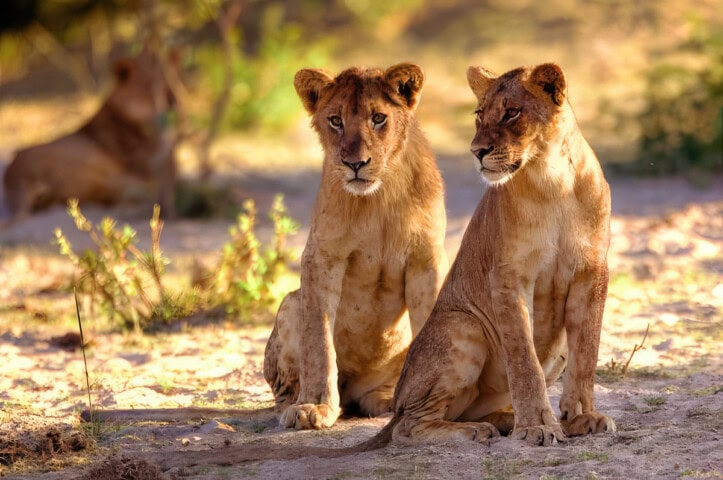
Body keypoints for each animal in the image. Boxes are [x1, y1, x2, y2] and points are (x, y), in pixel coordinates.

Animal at [263, 63, 448, 430]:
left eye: (378, 118)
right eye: (336, 120)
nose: (355, 163)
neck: (378, 197)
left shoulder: (427, 258)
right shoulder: (321, 257)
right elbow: (318, 341)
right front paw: (314, 406)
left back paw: (386, 400)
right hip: (290, 304)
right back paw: (295, 404)